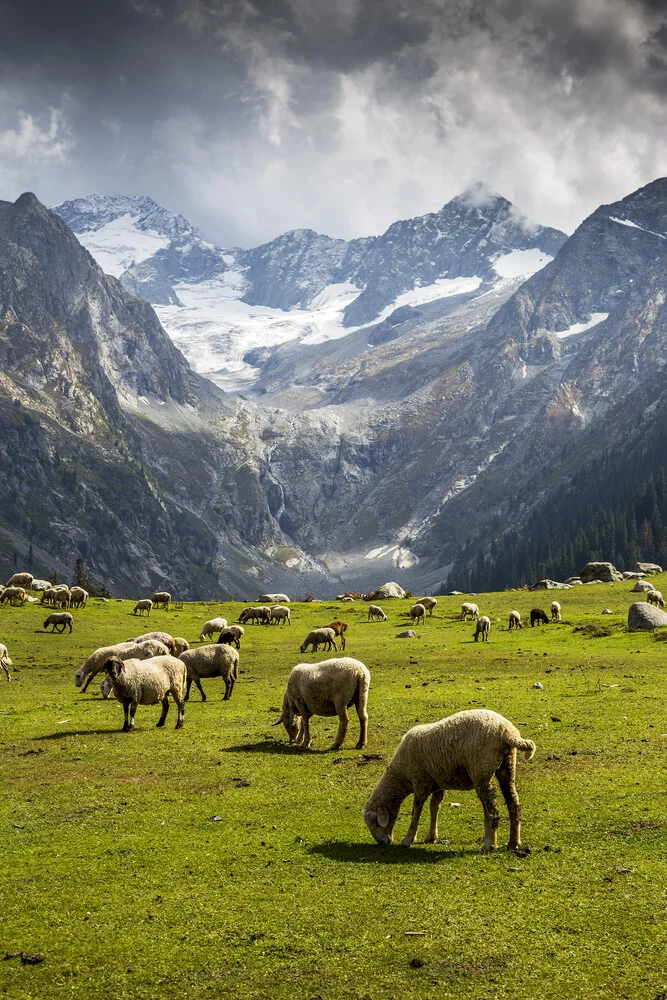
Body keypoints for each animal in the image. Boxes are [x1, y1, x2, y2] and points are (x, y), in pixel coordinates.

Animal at [362, 704, 536, 852]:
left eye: (373, 820)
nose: (383, 843)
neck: (401, 774)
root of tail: (507, 732)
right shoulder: (438, 783)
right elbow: (434, 807)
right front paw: (431, 837)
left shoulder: (420, 781)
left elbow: (416, 810)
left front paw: (408, 839)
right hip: (507, 766)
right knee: (514, 803)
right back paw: (513, 842)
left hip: (481, 770)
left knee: (491, 809)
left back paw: (490, 844)